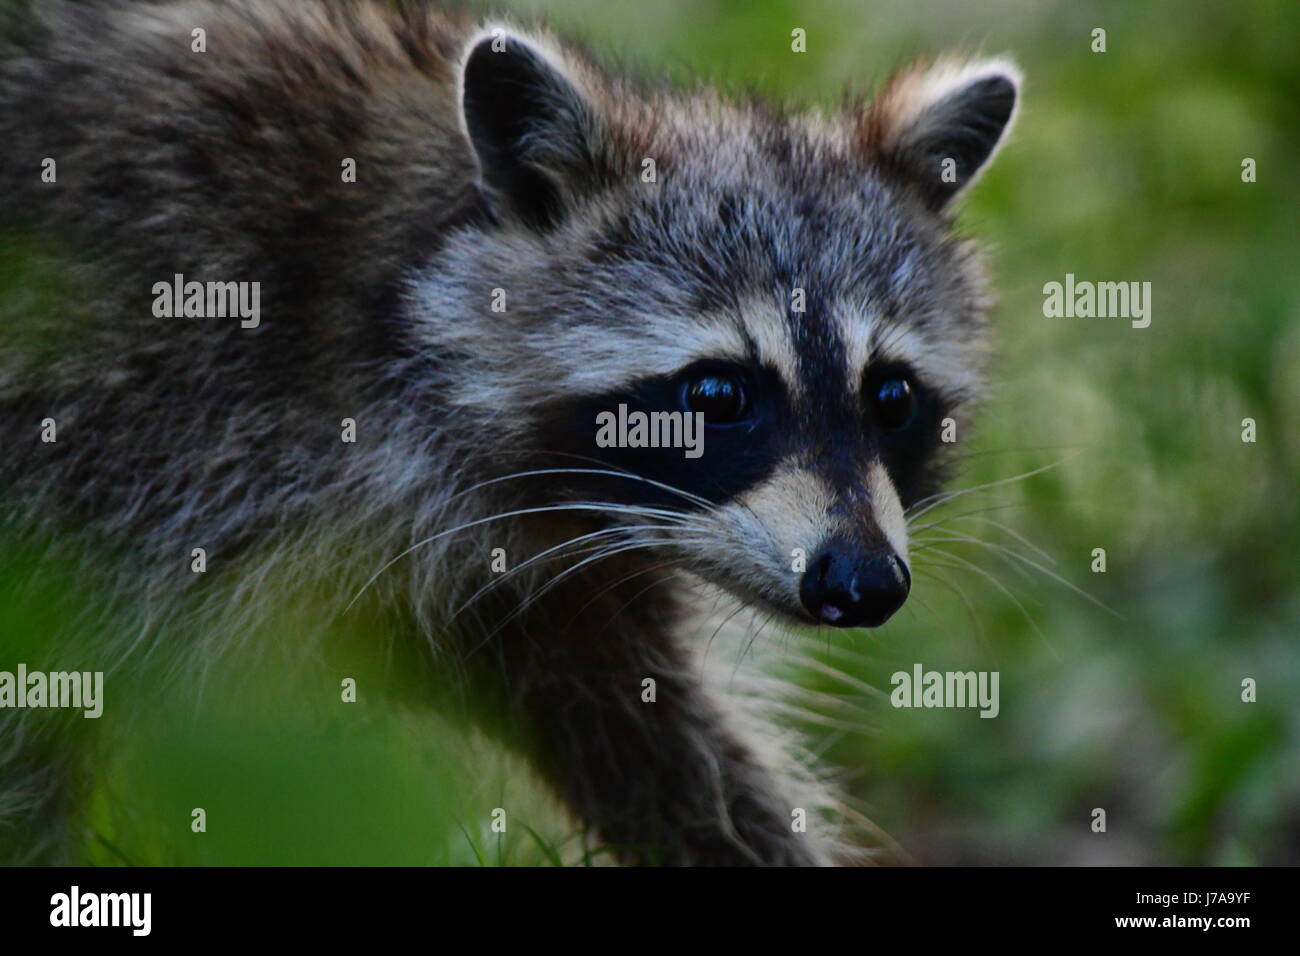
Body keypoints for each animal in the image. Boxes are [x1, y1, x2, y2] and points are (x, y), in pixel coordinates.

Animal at [0, 0, 1013, 868]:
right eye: (719, 394)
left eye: (892, 397)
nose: (864, 582)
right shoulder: (141, 425)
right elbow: (35, 720)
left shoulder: (559, 584)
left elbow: (655, 746)